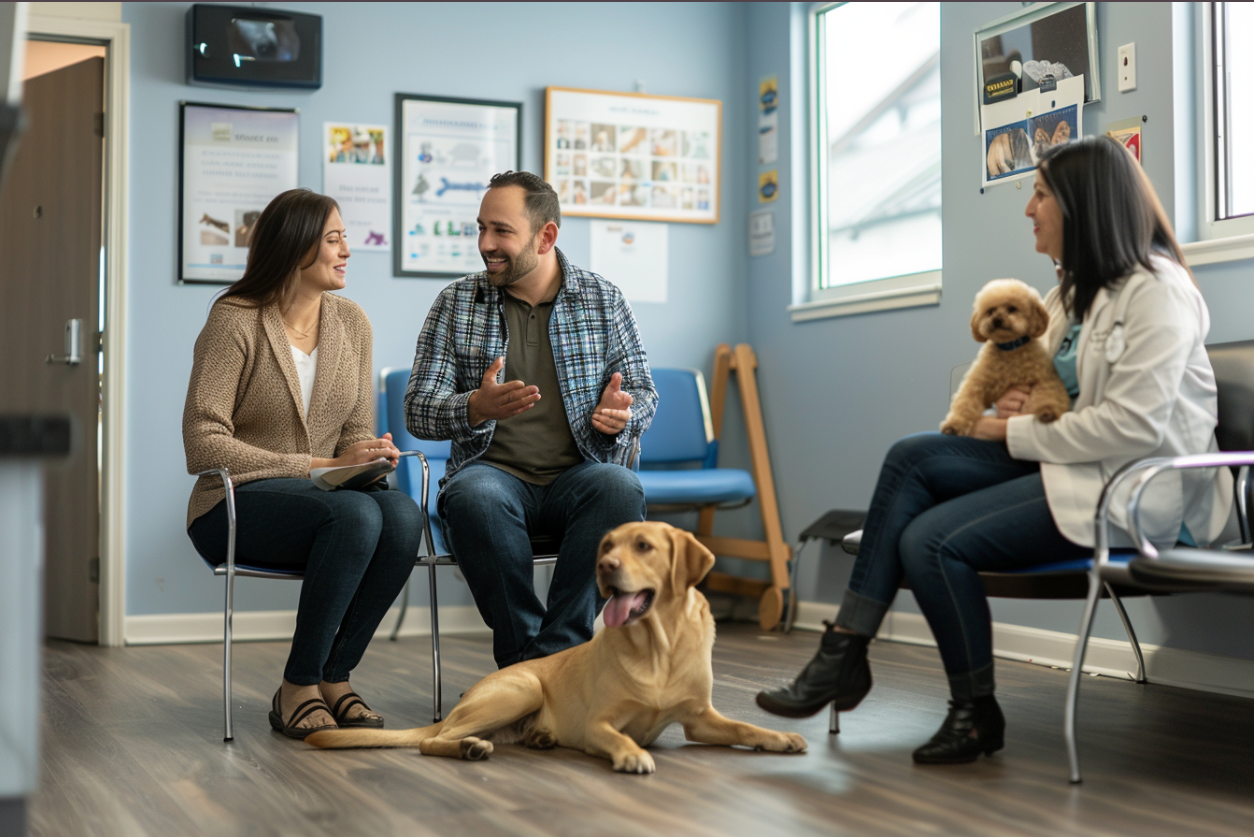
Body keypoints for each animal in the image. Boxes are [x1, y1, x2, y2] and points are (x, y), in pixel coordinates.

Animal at [308, 524, 807, 773]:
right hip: (522, 687)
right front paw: (632, 754)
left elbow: (744, 726)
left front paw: (781, 737)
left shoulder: (701, 719)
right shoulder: (599, 724)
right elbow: (619, 736)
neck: (658, 646)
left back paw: (537, 737)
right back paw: (469, 748)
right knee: (434, 741)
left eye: (644, 545)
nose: (605, 565)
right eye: (608, 545)